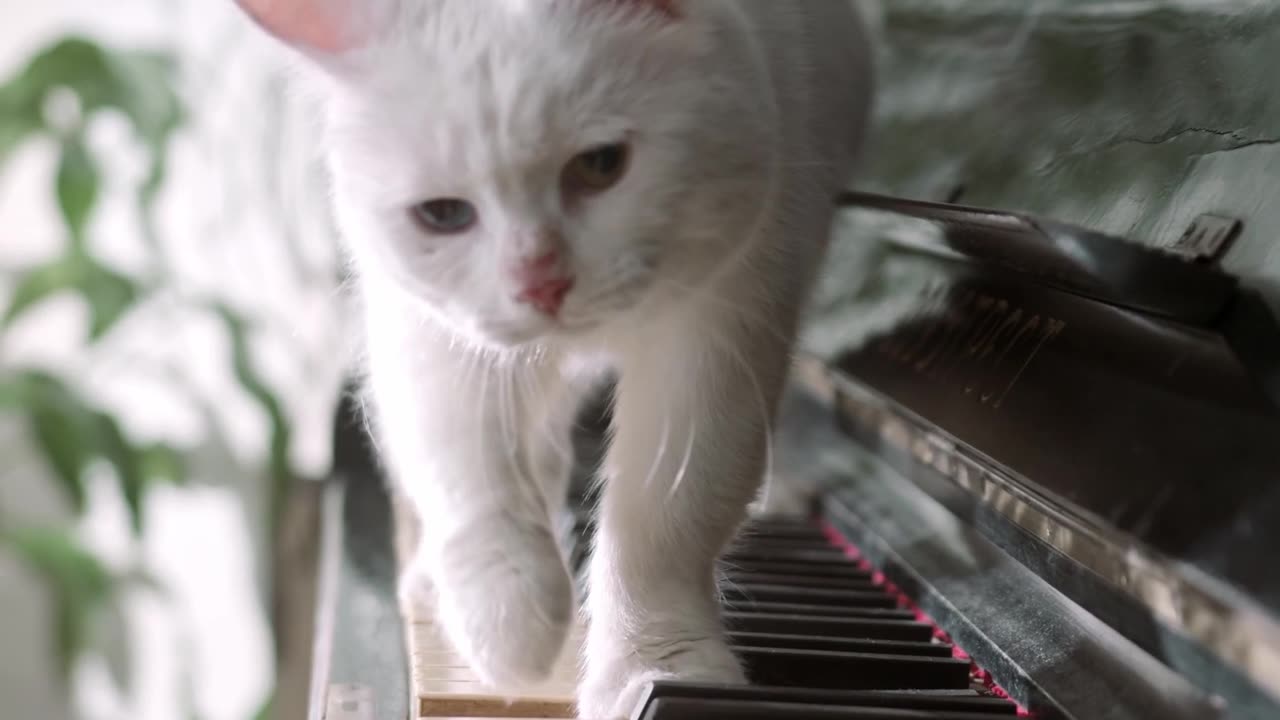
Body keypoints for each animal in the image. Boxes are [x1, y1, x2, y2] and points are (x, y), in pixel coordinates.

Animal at [232, 0, 870, 712]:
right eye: (443, 214)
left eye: (601, 164)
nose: (540, 284)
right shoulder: (433, 338)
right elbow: (472, 480)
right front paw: (511, 633)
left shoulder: (721, 331)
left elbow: (665, 525)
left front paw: (657, 670)